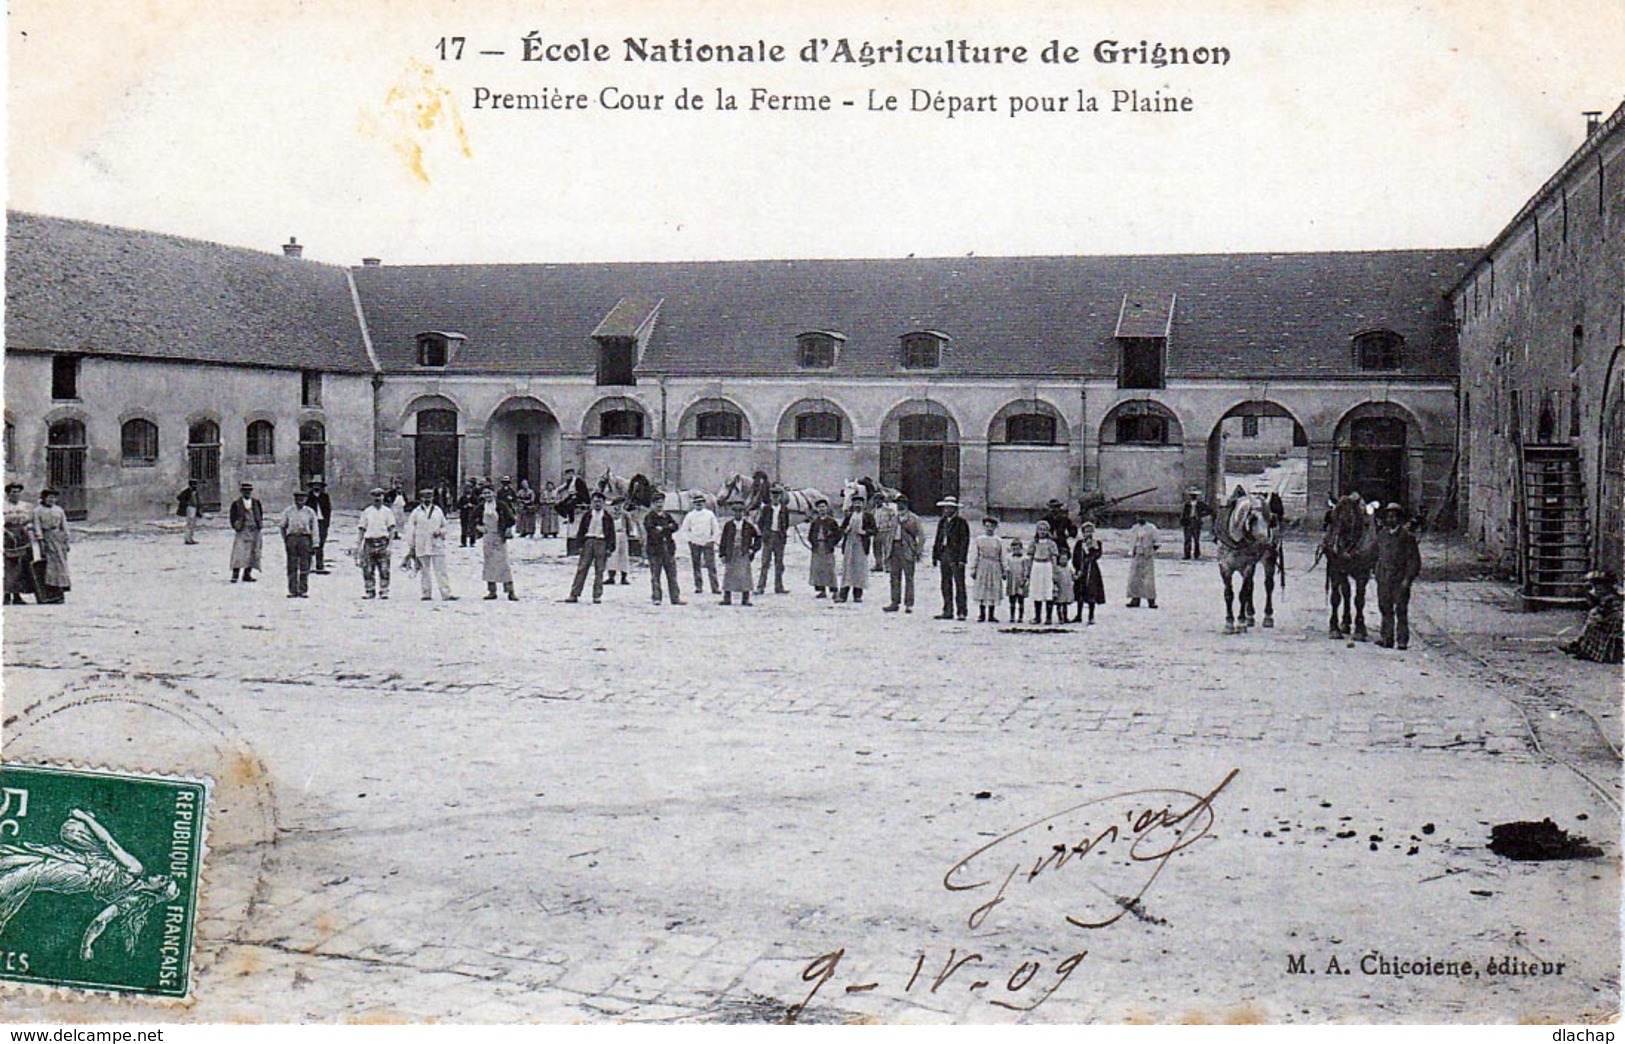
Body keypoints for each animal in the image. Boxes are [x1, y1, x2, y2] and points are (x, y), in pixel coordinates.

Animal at [1215, 491, 1287, 630]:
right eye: (1253, 519)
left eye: (1271, 520)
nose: (1269, 543)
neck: (1236, 540)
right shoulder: (1224, 566)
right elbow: (1228, 593)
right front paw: (1229, 622)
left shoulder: (1248, 565)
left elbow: (1243, 593)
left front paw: (1241, 621)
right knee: (1251, 586)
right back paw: (1250, 615)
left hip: (1269, 559)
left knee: (1268, 585)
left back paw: (1268, 616)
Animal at [1313, 491, 1378, 637]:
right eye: (1331, 518)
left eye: (1350, 520)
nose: (1336, 549)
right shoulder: (1336, 568)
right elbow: (1336, 597)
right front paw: (1334, 628)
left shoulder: (1363, 572)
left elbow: (1359, 599)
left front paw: (1360, 629)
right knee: (1346, 593)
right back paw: (1345, 623)